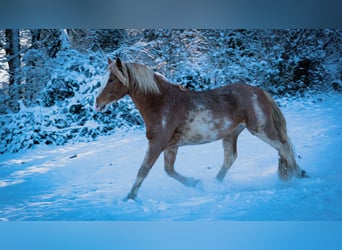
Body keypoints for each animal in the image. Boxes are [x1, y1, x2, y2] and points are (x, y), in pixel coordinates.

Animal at [95, 57, 306, 200]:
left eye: (112, 79)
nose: (97, 103)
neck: (162, 103)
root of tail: (258, 90)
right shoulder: (171, 146)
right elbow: (169, 171)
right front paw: (196, 183)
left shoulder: (157, 144)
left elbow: (143, 171)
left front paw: (129, 198)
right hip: (231, 134)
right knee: (230, 158)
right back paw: (215, 185)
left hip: (260, 129)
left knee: (284, 147)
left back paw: (300, 175)